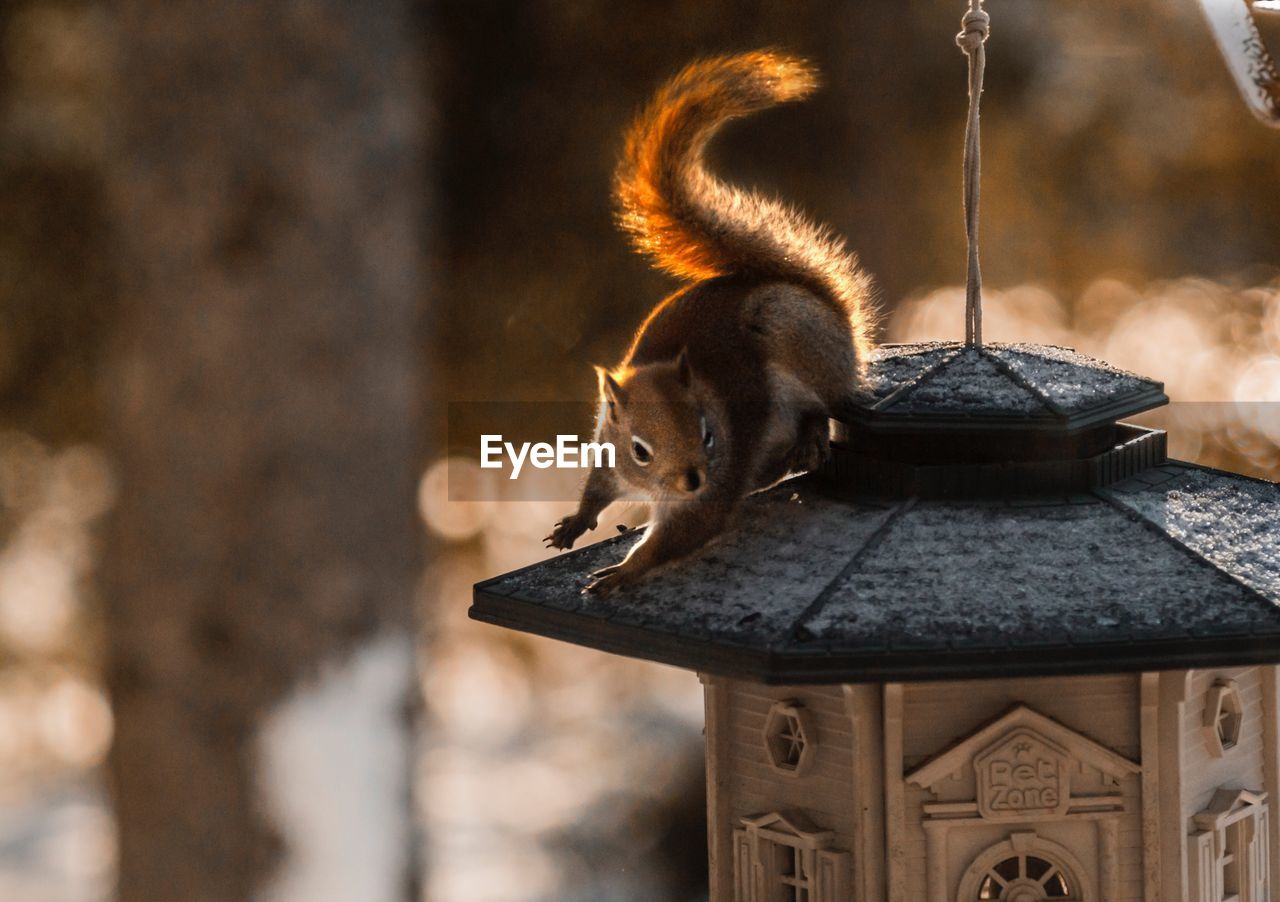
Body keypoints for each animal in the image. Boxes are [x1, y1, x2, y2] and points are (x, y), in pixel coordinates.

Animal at [545, 52, 875, 593]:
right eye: (639, 450)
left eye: (707, 435)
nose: (694, 480)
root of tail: (832, 314)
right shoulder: (608, 451)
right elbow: (597, 487)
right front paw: (576, 522)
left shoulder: (712, 485)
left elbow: (686, 531)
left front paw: (621, 572)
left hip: (791, 332)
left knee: (826, 404)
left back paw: (810, 437)